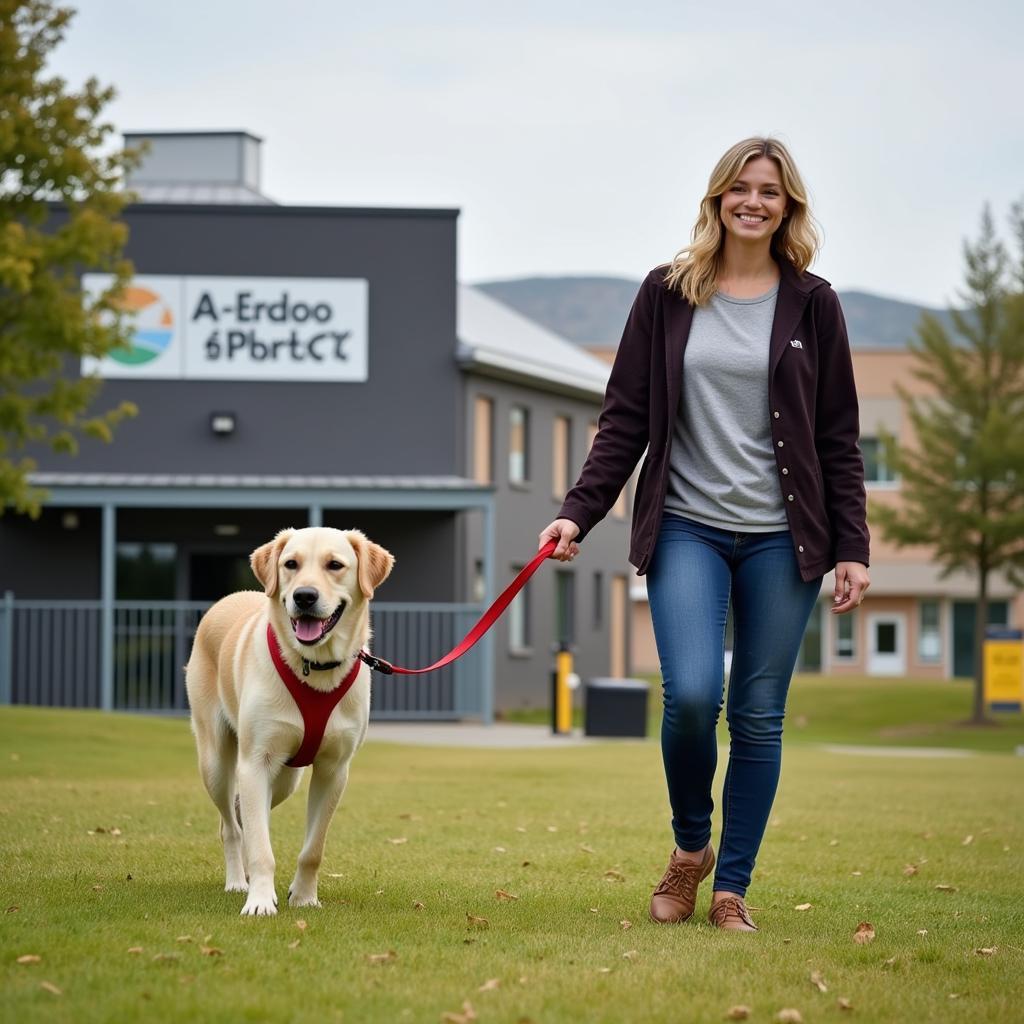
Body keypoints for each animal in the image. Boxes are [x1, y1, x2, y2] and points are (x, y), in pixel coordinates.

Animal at [184, 528, 391, 913]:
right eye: (291, 564)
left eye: (334, 565)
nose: (304, 596)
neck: (315, 667)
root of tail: (229, 598)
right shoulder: (255, 761)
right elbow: (260, 847)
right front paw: (260, 901)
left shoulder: (333, 770)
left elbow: (313, 849)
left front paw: (305, 897)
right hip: (216, 761)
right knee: (232, 826)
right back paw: (238, 881)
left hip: (285, 780)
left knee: (244, 811)